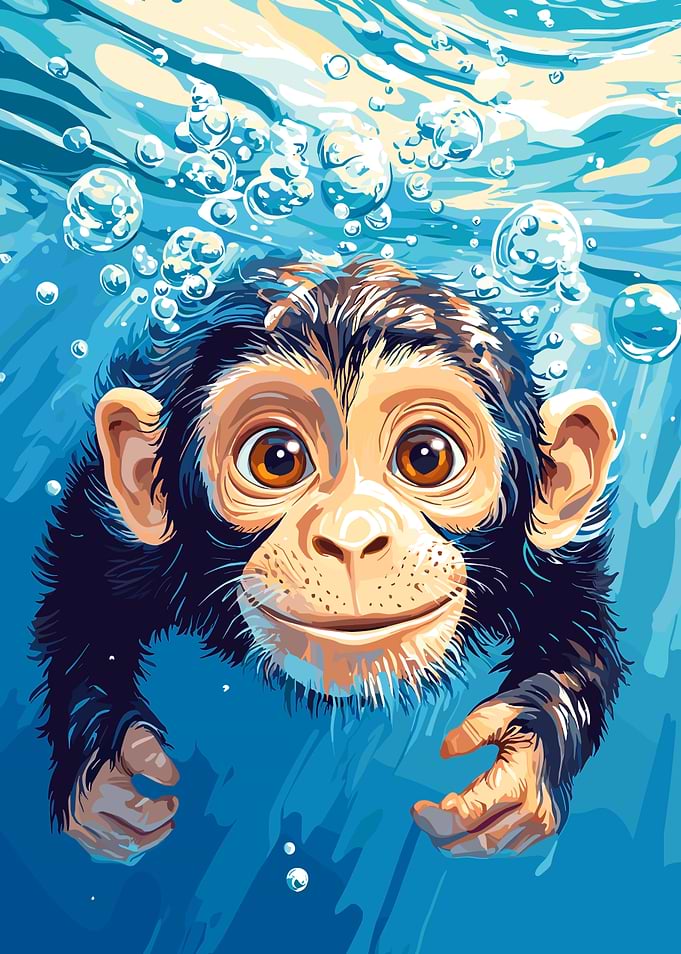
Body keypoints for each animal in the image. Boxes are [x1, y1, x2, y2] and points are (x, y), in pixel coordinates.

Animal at [31, 257, 627, 863]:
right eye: (276, 459)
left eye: (426, 457)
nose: (351, 536)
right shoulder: (130, 553)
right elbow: (85, 602)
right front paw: (110, 772)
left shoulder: (543, 563)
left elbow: (573, 613)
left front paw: (519, 761)